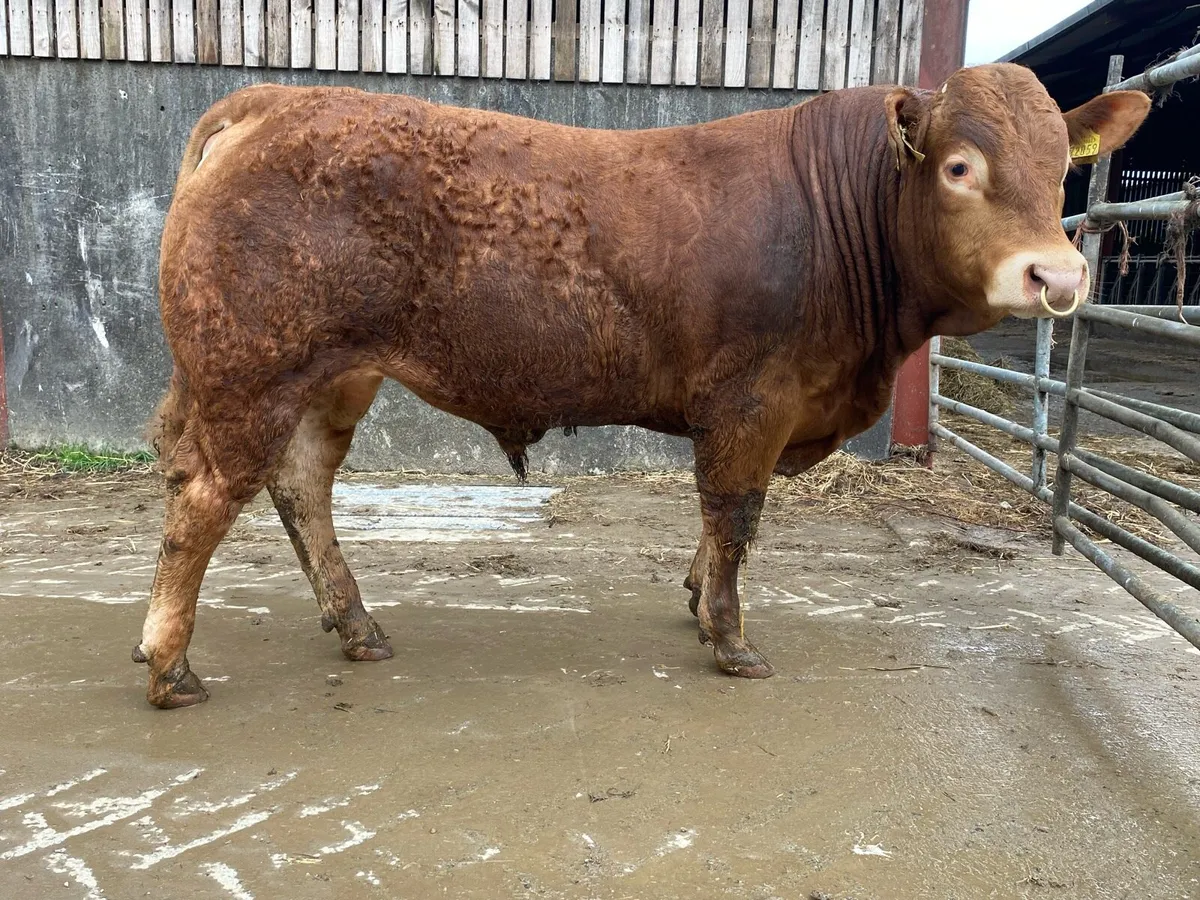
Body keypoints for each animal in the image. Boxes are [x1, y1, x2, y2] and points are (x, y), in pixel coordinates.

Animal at [132, 63, 1150, 708]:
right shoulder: (750, 400)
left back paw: (355, 624)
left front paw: (698, 600)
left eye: (1061, 170)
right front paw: (731, 639)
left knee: (300, 484)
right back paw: (169, 665)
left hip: (335, 374)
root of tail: (275, 98)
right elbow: (735, 513)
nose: (1057, 276)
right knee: (204, 497)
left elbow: (718, 525)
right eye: (960, 166)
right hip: (250, 368)